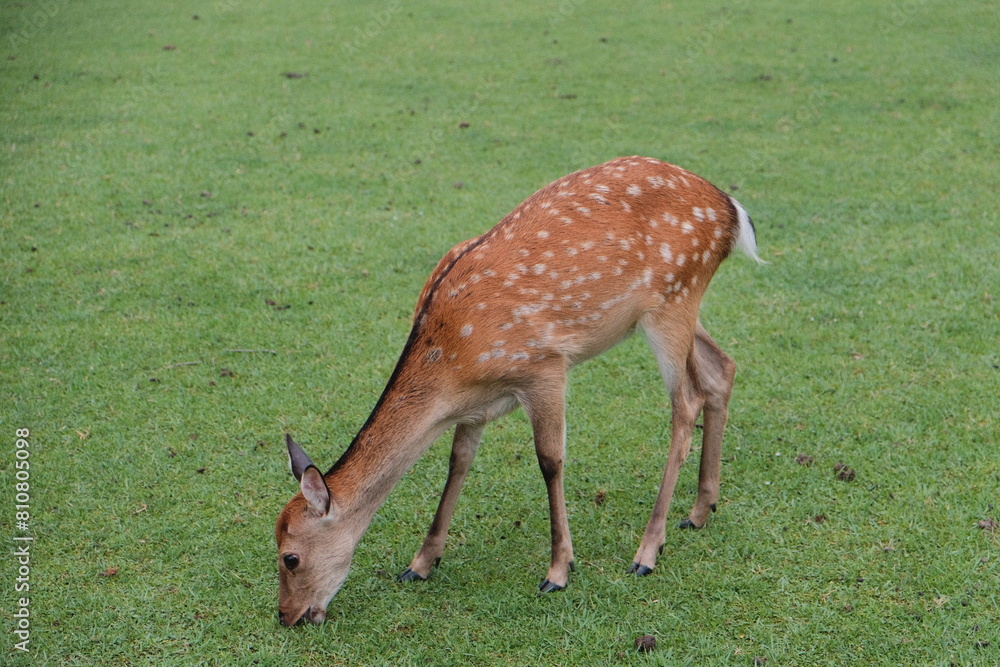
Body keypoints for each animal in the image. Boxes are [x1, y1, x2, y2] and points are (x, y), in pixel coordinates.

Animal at [275, 156, 762, 625]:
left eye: (289, 557)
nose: (287, 616)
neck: (456, 368)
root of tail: (732, 211)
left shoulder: (544, 367)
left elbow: (550, 461)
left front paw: (559, 570)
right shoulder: (475, 408)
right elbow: (458, 462)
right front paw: (421, 563)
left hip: (673, 299)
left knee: (686, 403)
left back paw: (647, 551)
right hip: (679, 308)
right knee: (722, 369)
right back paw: (700, 511)